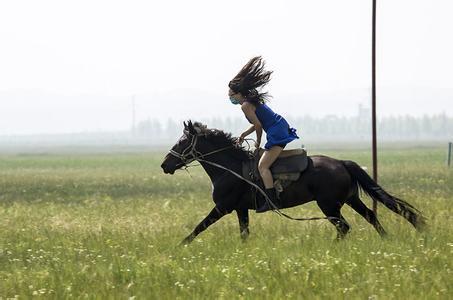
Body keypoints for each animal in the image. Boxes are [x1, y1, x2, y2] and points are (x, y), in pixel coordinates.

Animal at [162, 120, 424, 244]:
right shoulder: (240, 209)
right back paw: (386, 239)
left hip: (329, 205)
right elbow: (244, 234)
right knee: (371, 216)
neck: (230, 168)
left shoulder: (222, 207)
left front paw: (178, 247)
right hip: (350, 199)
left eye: (181, 142)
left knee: (344, 227)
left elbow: (198, 228)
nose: (165, 165)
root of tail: (341, 162)